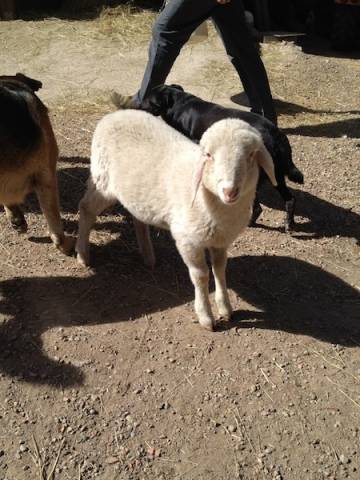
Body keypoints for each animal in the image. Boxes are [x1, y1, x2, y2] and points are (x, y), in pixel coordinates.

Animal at [76, 110, 278, 332]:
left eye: (251, 155)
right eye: (209, 155)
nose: (229, 190)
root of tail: (116, 113)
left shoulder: (220, 240)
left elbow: (220, 269)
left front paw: (225, 308)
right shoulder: (188, 240)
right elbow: (201, 275)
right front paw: (206, 316)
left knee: (138, 218)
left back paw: (148, 256)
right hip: (102, 180)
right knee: (85, 208)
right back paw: (82, 255)